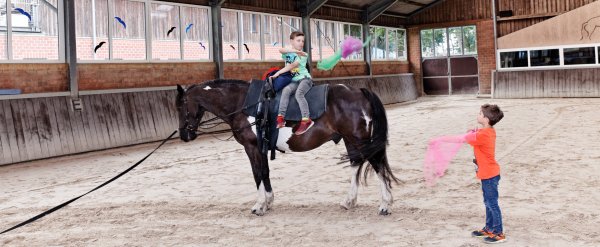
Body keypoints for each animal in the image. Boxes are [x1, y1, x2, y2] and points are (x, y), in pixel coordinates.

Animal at [176, 80, 400, 215]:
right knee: (356, 163)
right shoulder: (262, 148)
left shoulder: (252, 147)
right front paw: (268, 201)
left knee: (377, 165)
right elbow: (265, 173)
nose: (184, 135)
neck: (244, 105)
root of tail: (359, 91)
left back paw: (384, 205)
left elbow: (258, 173)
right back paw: (349, 201)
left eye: (180, 106)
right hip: (350, 139)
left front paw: (259, 205)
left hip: (359, 139)